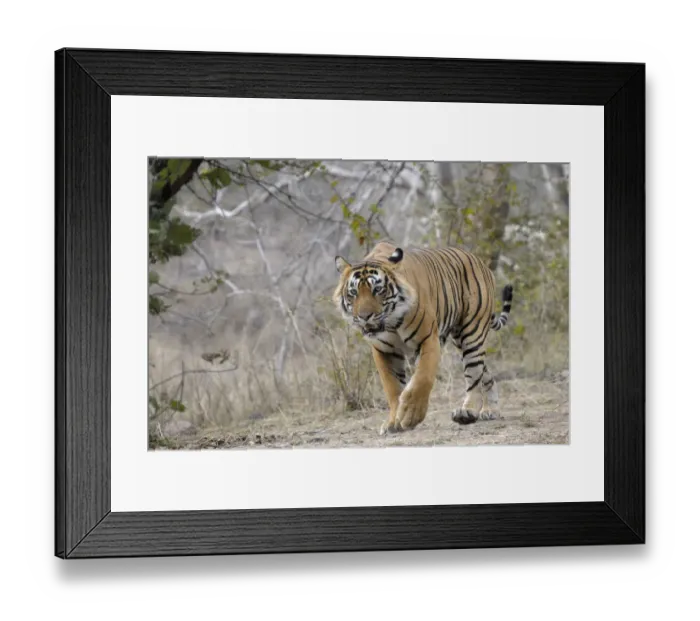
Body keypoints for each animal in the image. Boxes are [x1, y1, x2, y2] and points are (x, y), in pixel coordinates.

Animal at [333, 240, 513, 436]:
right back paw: (490, 409)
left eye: (378, 290)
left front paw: (410, 415)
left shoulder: (428, 338)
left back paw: (468, 412)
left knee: (473, 374)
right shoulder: (384, 350)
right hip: (460, 339)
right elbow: (392, 387)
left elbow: (422, 378)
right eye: (353, 293)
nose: (364, 316)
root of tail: (478, 261)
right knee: (484, 371)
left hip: (472, 332)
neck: (391, 322)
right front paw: (393, 423)